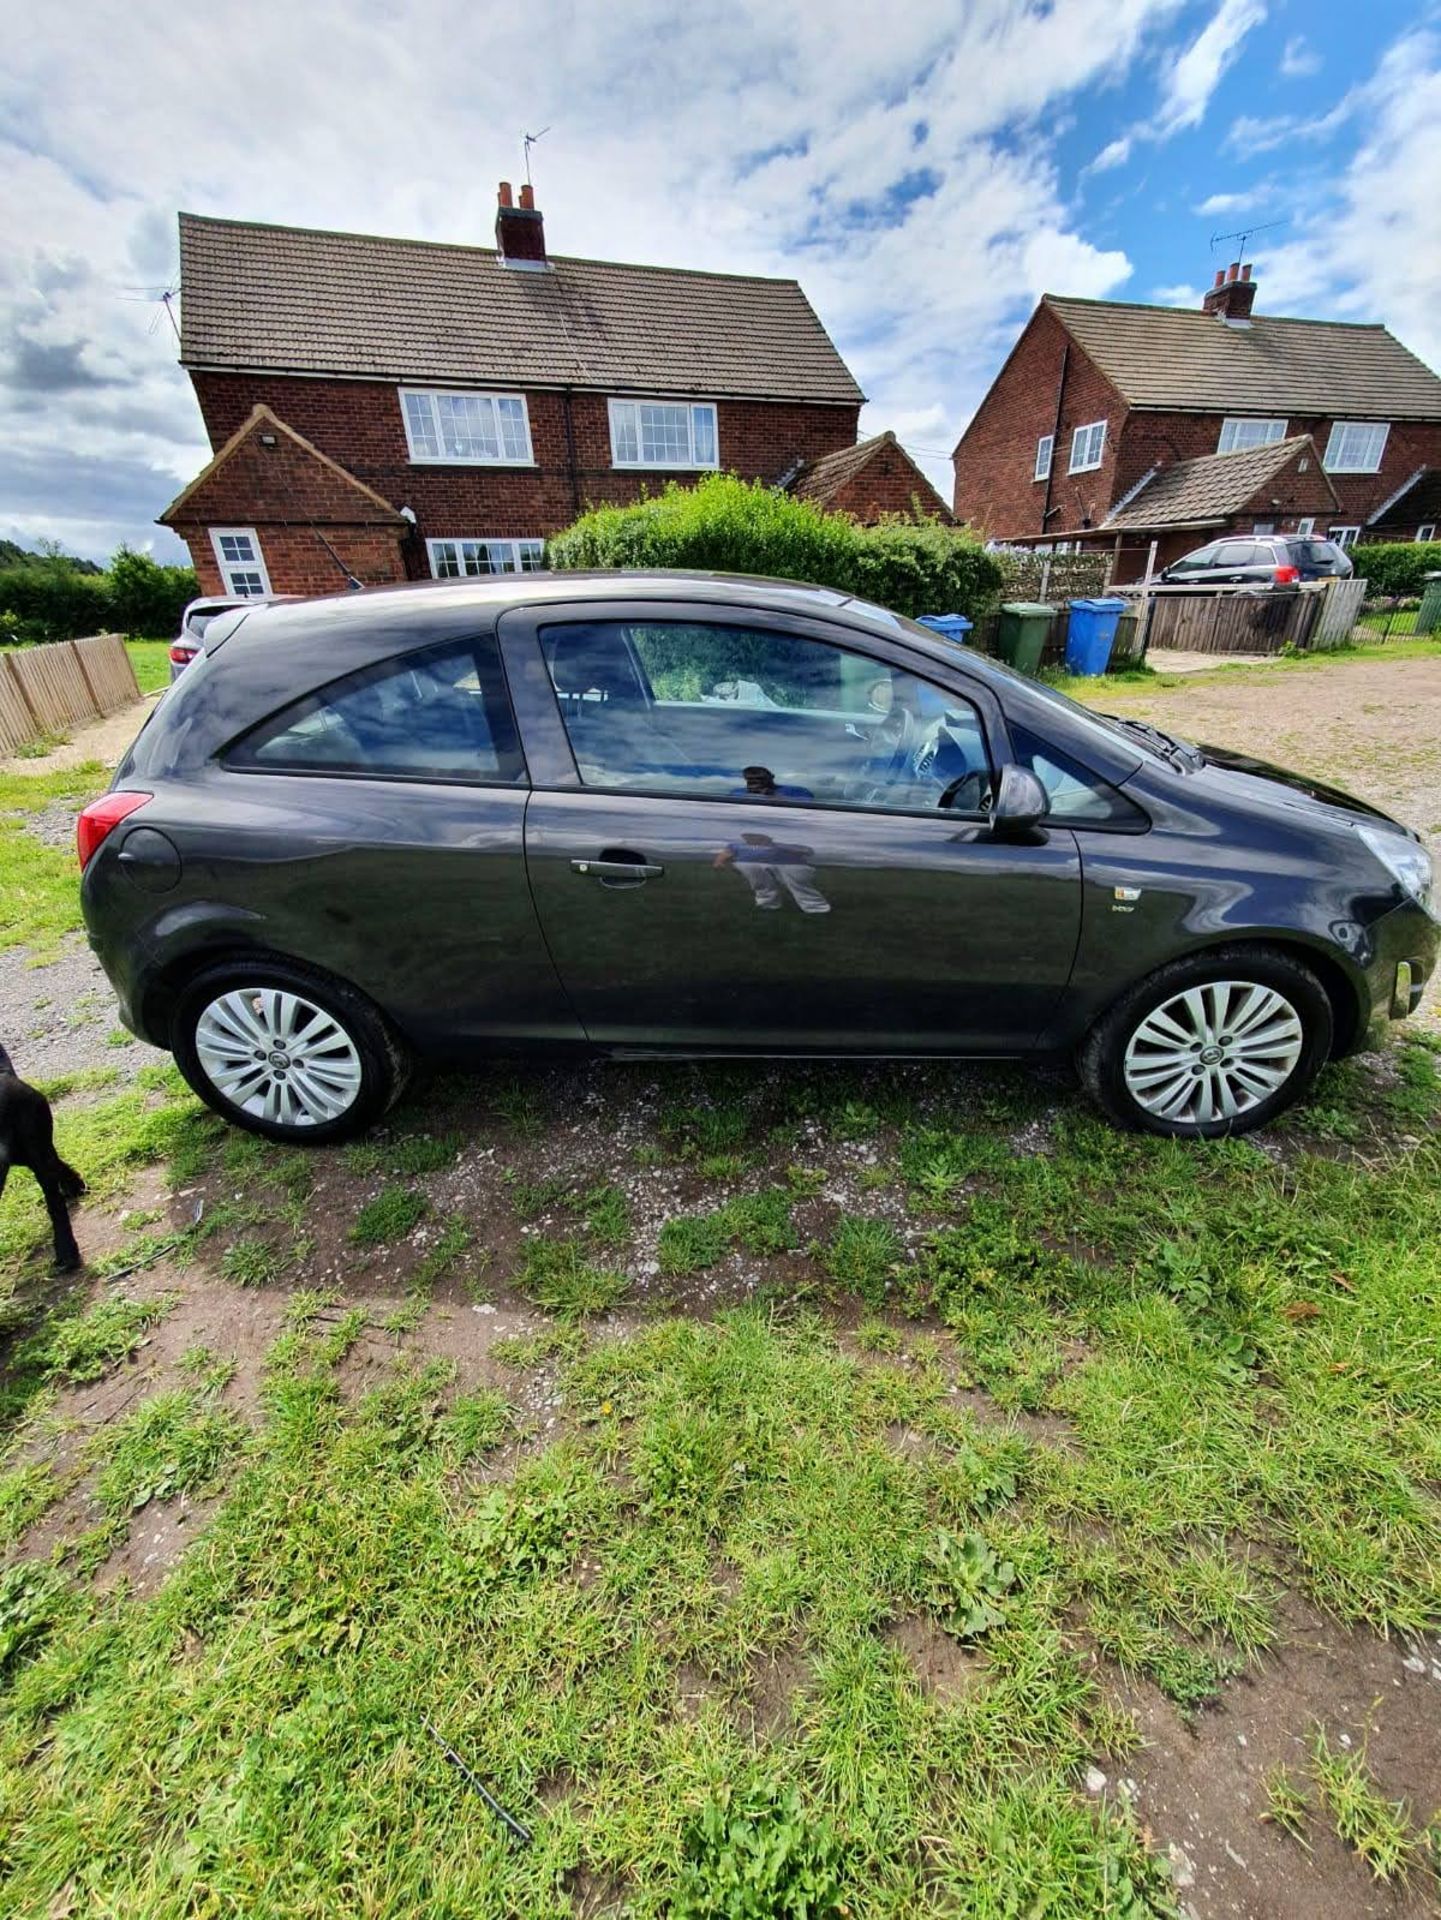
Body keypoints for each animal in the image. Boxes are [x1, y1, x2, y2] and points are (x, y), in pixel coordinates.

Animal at [0, 1044, 84, 1267]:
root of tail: (6, 1074)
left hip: (34, 1149)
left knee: (55, 1203)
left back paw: (66, 1251)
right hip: (23, 1153)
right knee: (56, 1164)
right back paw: (74, 1185)